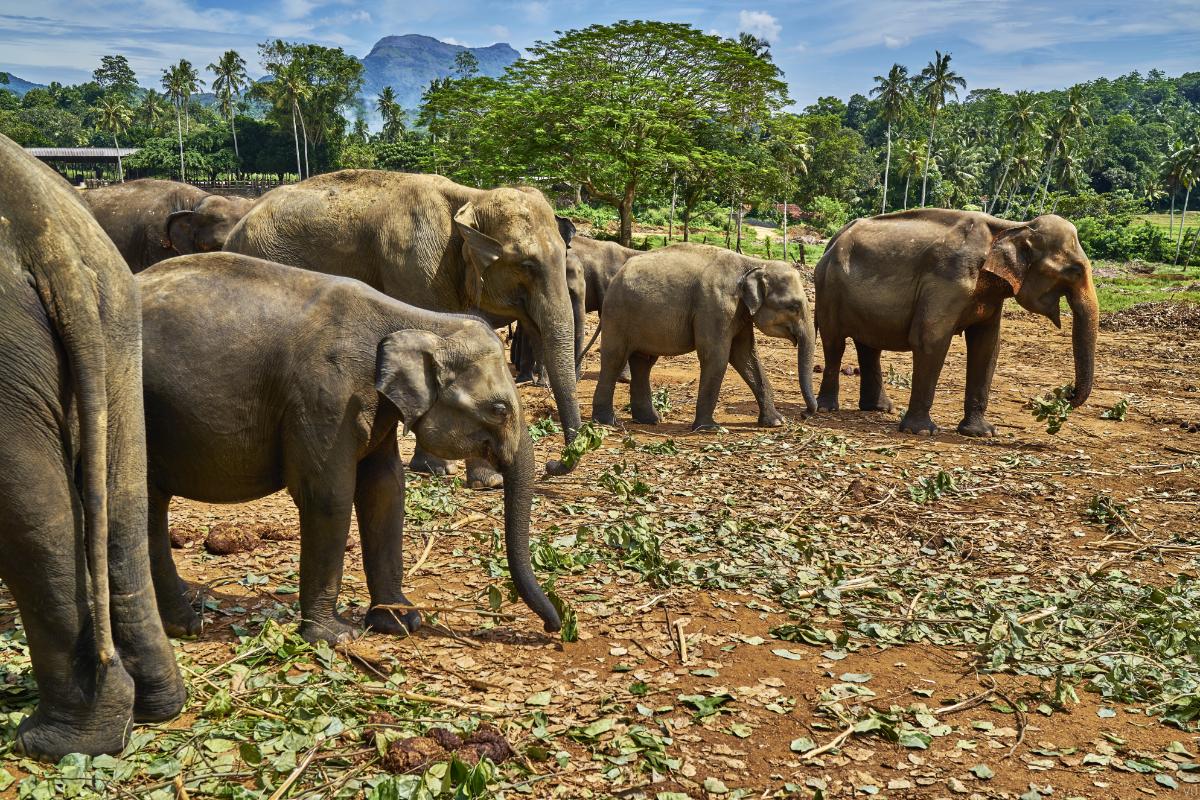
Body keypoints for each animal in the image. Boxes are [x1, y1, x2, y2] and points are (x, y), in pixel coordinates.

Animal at [0, 134, 185, 760]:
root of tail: (49, 235)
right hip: (118, 323)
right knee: (123, 500)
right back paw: (153, 706)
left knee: (39, 513)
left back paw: (58, 739)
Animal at [136, 252, 561, 644]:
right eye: (499, 409)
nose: (553, 628)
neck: (420, 320)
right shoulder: (325, 398)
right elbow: (329, 495)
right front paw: (335, 637)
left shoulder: (375, 405)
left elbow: (385, 488)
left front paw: (400, 622)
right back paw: (185, 626)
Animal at [223, 171, 581, 485]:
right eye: (527, 265)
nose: (553, 465)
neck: (470, 196)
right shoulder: (414, 266)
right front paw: (441, 470)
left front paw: (485, 481)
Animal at [592, 244, 818, 430]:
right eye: (794, 306)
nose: (804, 414)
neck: (752, 263)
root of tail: (616, 277)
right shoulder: (714, 306)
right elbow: (716, 356)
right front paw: (709, 428)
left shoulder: (740, 313)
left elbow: (745, 356)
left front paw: (777, 422)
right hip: (617, 315)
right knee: (614, 359)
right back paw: (606, 422)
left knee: (643, 363)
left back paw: (650, 420)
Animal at [814, 209, 1098, 436]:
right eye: (1074, 271)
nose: (1064, 393)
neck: (1011, 226)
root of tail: (833, 240)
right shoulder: (949, 280)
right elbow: (930, 339)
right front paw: (921, 431)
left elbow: (987, 346)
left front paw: (981, 433)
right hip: (828, 290)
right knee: (834, 343)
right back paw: (827, 408)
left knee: (869, 346)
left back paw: (879, 409)